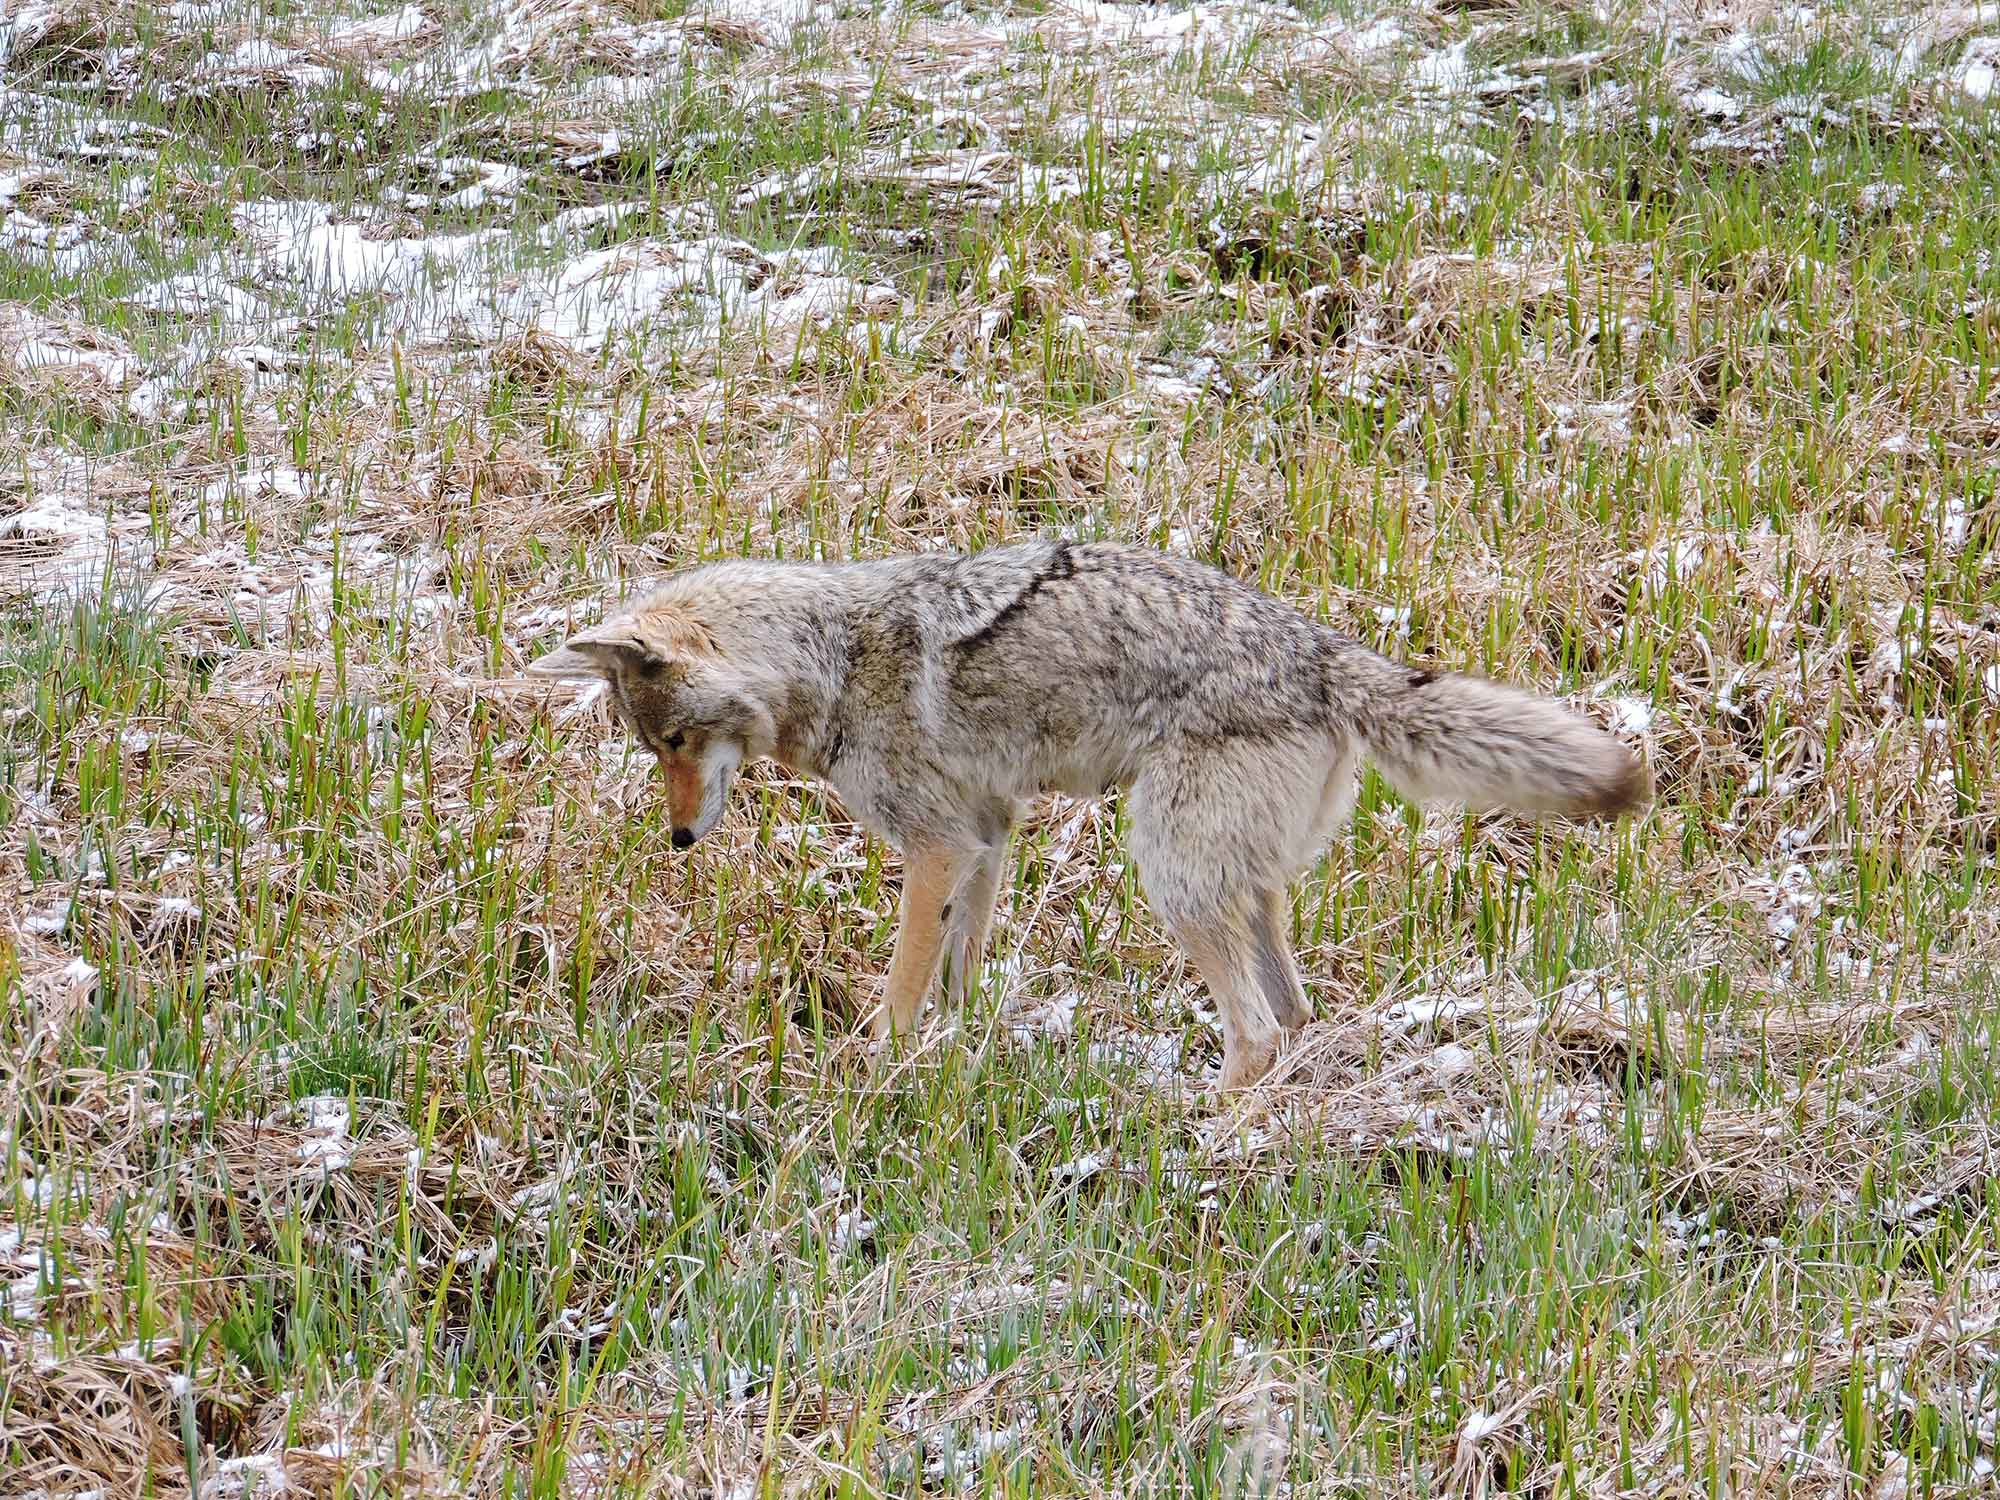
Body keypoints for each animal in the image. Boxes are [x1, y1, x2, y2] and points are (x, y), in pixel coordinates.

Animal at [527, 539, 1651, 1091]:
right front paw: (960, 1057)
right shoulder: (986, 835)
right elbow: (959, 974)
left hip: (1170, 873)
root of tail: (1328, 653)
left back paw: (1199, 1140)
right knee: (1292, 1017)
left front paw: (872, 1072)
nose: (678, 838)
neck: (830, 658)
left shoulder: (934, 844)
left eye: (676, 743)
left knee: (1254, 1034)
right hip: (1233, 887)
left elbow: (900, 990)